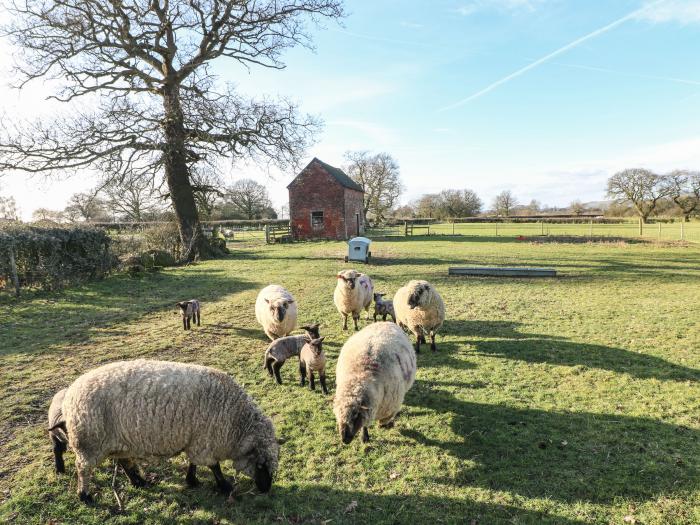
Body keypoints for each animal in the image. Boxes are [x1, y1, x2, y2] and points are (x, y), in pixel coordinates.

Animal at [60, 358, 278, 502]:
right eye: (260, 465)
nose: (266, 490)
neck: (235, 421)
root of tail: (70, 394)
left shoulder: (196, 440)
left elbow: (194, 462)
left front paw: (191, 480)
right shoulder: (205, 441)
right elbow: (214, 466)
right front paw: (224, 486)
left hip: (118, 440)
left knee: (123, 460)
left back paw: (138, 481)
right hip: (89, 443)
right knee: (83, 468)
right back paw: (84, 495)